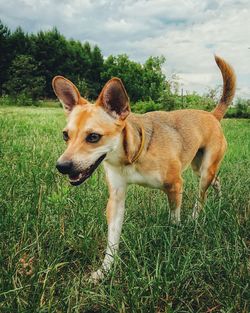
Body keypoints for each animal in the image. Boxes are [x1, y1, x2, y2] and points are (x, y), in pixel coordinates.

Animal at [52, 54, 236, 280]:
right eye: (65, 135)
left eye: (93, 137)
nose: (61, 166)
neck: (131, 157)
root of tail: (212, 115)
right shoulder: (116, 196)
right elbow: (112, 238)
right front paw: (104, 270)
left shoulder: (175, 185)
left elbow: (174, 218)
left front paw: (174, 236)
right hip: (198, 166)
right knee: (216, 181)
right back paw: (219, 201)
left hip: (204, 170)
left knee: (201, 196)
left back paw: (194, 218)